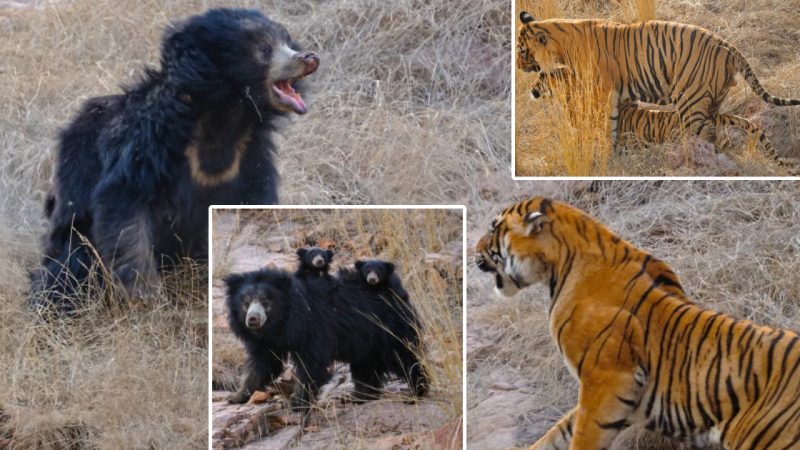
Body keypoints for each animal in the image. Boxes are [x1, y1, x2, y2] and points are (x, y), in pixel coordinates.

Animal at [29, 8, 320, 312]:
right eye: (264, 49)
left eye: (286, 41)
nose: (310, 57)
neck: (225, 116)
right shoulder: (148, 140)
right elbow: (123, 203)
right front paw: (146, 296)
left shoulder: (251, 155)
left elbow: (257, 197)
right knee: (70, 266)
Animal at [222, 248, 428, 410]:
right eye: (245, 303)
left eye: (266, 302)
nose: (253, 320)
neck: (282, 323)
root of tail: (398, 291)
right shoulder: (267, 341)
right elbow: (263, 363)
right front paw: (236, 397)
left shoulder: (313, 326)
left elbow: (311, 363)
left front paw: (297, 401)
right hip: (366, 338)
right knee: (365, 366)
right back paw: (359, 396)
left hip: (389, 327)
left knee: (404, 356)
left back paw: (417, 391)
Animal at [520, 11, 800, 149]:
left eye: (522, 51)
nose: (519, 67)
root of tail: (728, 46)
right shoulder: (624, 93)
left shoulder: (603, 92)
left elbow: (606, 126)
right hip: (712, 101)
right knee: (718, 132)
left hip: (690, 102)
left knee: (702, 135)